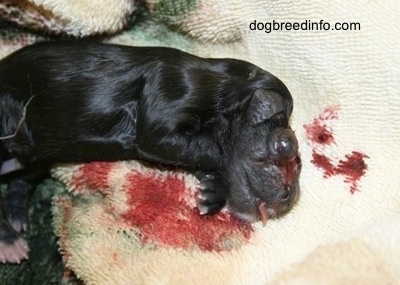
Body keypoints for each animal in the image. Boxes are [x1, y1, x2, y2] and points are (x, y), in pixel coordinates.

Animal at [0, 40, 300, 262]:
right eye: (286, 146)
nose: (290, 199)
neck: (223, 87)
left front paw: (213, 192)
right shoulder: (167, 99)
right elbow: (210, 149)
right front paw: (219, 181)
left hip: (38, 157)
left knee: (22, 178)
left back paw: (16, 214)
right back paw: (10, 242)